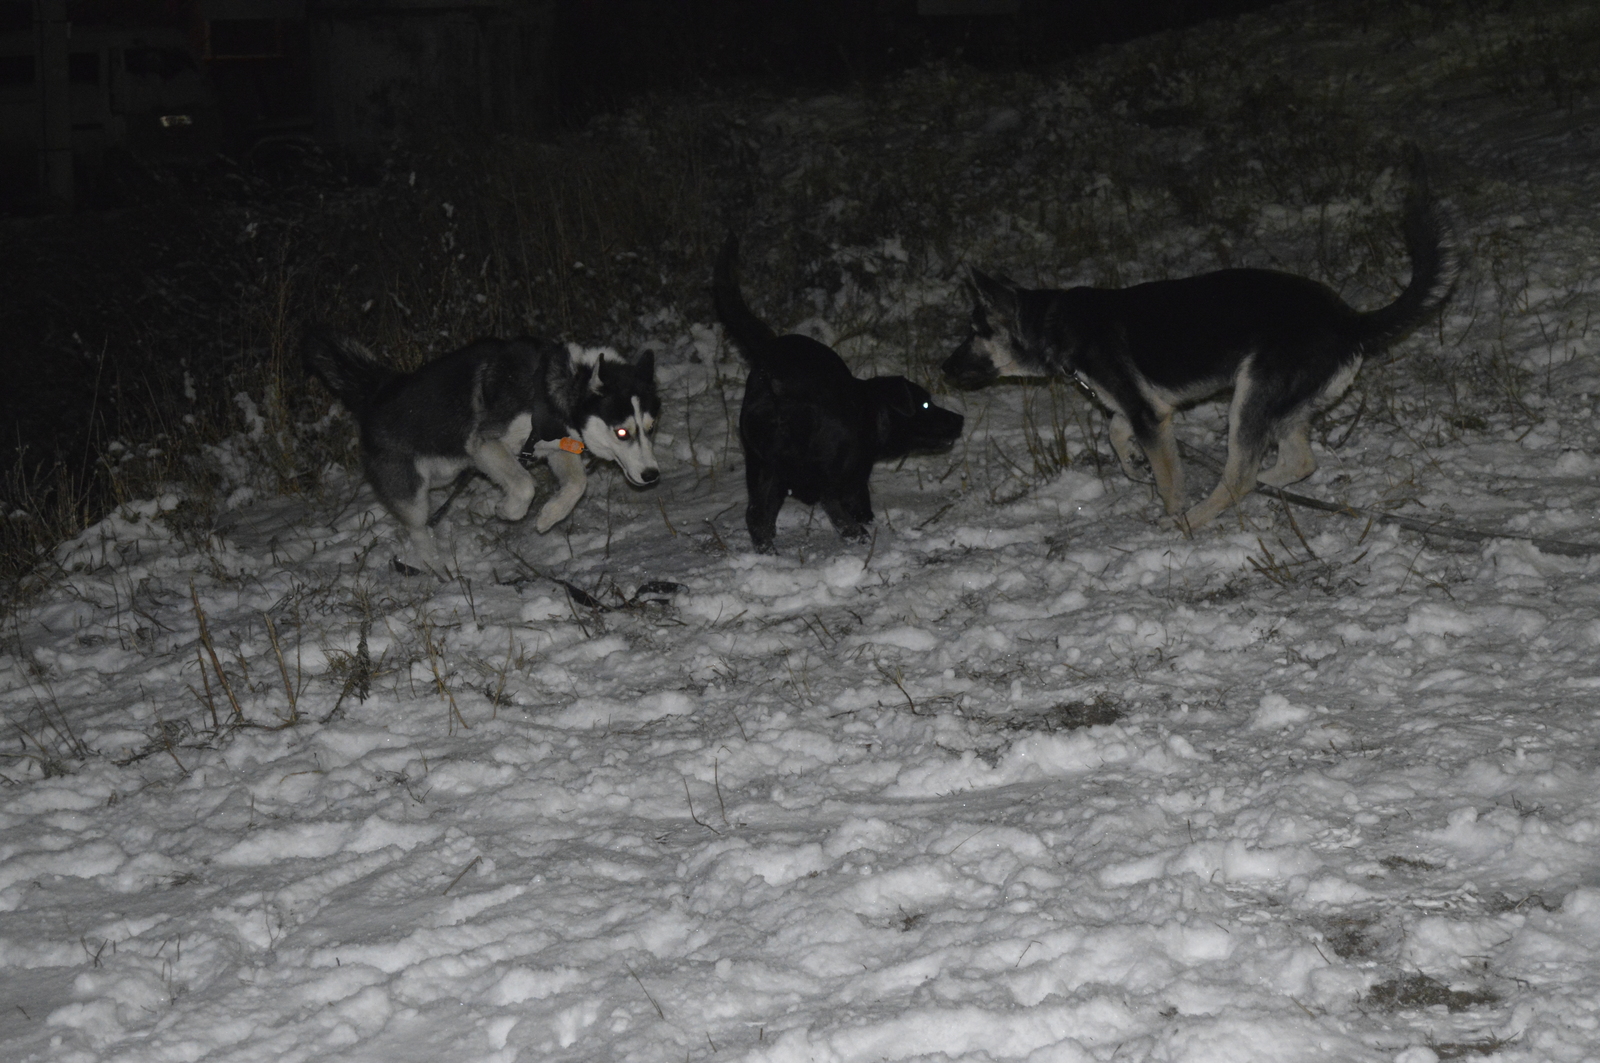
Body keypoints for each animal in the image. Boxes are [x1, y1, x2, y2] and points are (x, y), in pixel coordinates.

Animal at [302, 329, 659, 573]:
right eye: (623, 432)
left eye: (651, 427)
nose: (652, 475)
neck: (550, 388)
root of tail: (377, 392)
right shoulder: (484, 445)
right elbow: (525, 485)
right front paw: (506, 510)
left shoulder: (556, 448)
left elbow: (577, 485)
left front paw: (549, 516)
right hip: (413, 492)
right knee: (418, 529)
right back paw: (437, 569)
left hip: (445, 472)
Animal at [713, 235, 960, 550]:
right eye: (926, 405)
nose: (959, 419)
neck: (870, 410)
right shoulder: (854, 475)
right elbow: (854, 505)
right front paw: (865, 528)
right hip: (820, 470)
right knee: (827, 503)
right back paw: (856, 535)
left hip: (762, 467)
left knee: (757, 515)